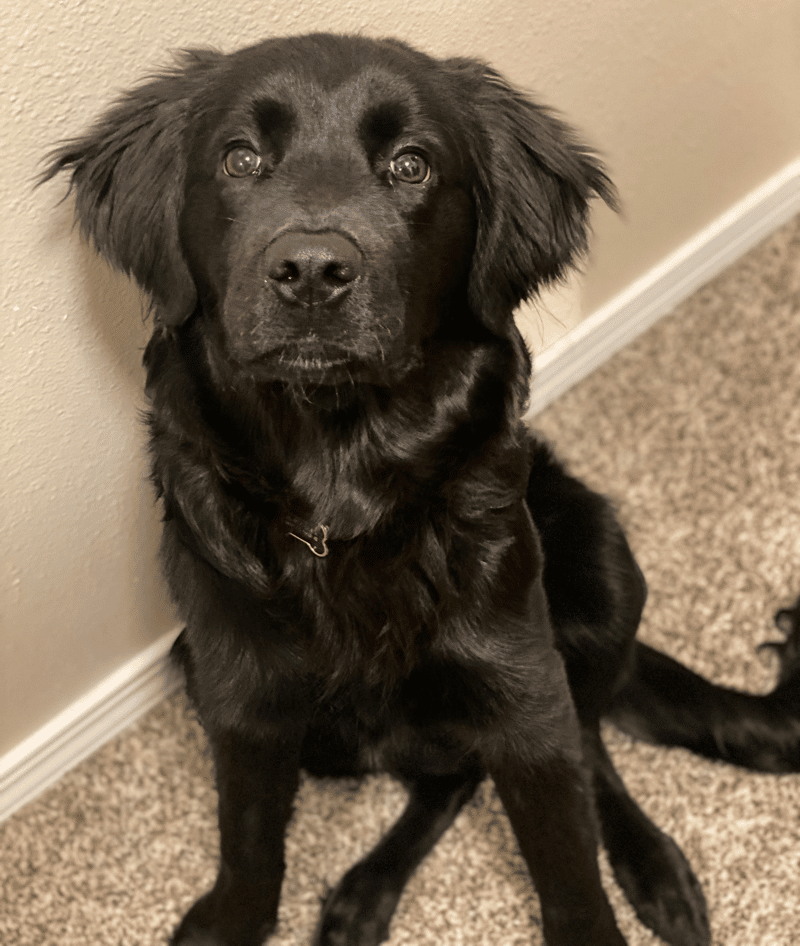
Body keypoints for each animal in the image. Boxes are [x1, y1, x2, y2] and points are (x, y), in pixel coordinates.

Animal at [42, 31, 800, 944]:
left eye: (411, 165)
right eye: (240, 158)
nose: (310, 271)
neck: (341, 480)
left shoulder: (519, 684)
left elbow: (565, 849)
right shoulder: (239, 689)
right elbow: (249, 844)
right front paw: (230, 920)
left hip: (606, 564)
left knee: (584, 743)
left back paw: (654, 868)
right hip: (210, 671)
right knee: (452, 778)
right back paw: (364, 895)